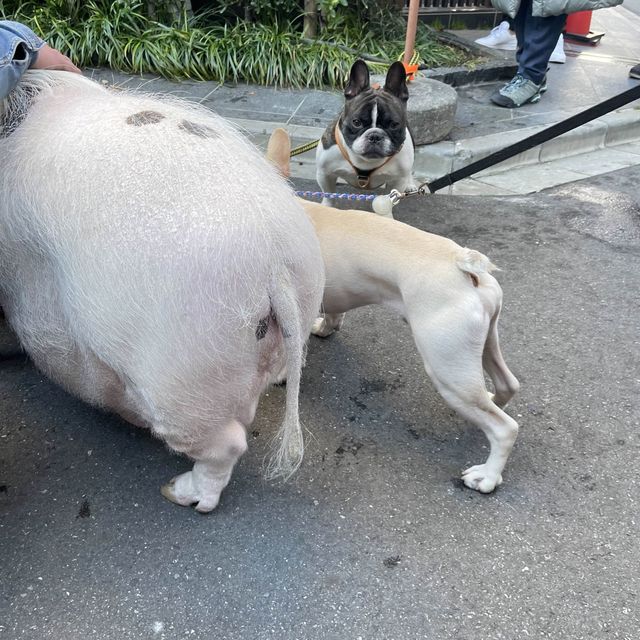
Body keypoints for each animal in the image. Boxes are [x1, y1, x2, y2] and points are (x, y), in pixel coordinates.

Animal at [268, 127, 524, 492]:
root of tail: (462, 263)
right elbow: (332, 315)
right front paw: (326, 329)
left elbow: (290, 351)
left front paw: (281, 373)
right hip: (484, 343)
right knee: (506, 386)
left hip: (447, 367)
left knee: (505, 428)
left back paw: (487, 476)